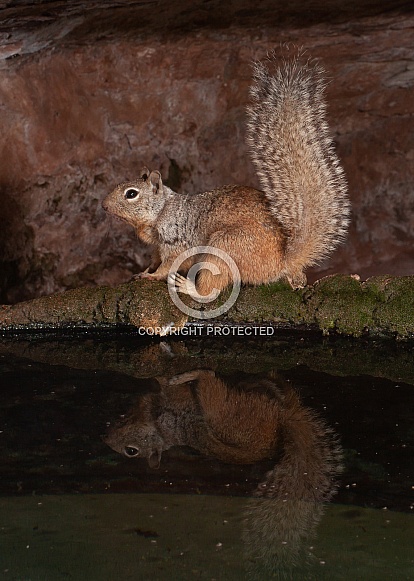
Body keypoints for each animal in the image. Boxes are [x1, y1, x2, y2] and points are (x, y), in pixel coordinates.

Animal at [101, 50, 350, 292]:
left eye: (131, 193)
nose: (104, 206)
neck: (160, 212)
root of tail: (280, 263)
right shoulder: (155, 247)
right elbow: (154, 260)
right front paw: (143, 271)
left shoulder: (176, 243)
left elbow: (168, 265)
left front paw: (151, 276)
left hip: (224, 249)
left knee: (211, 287)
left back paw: (189, 288)